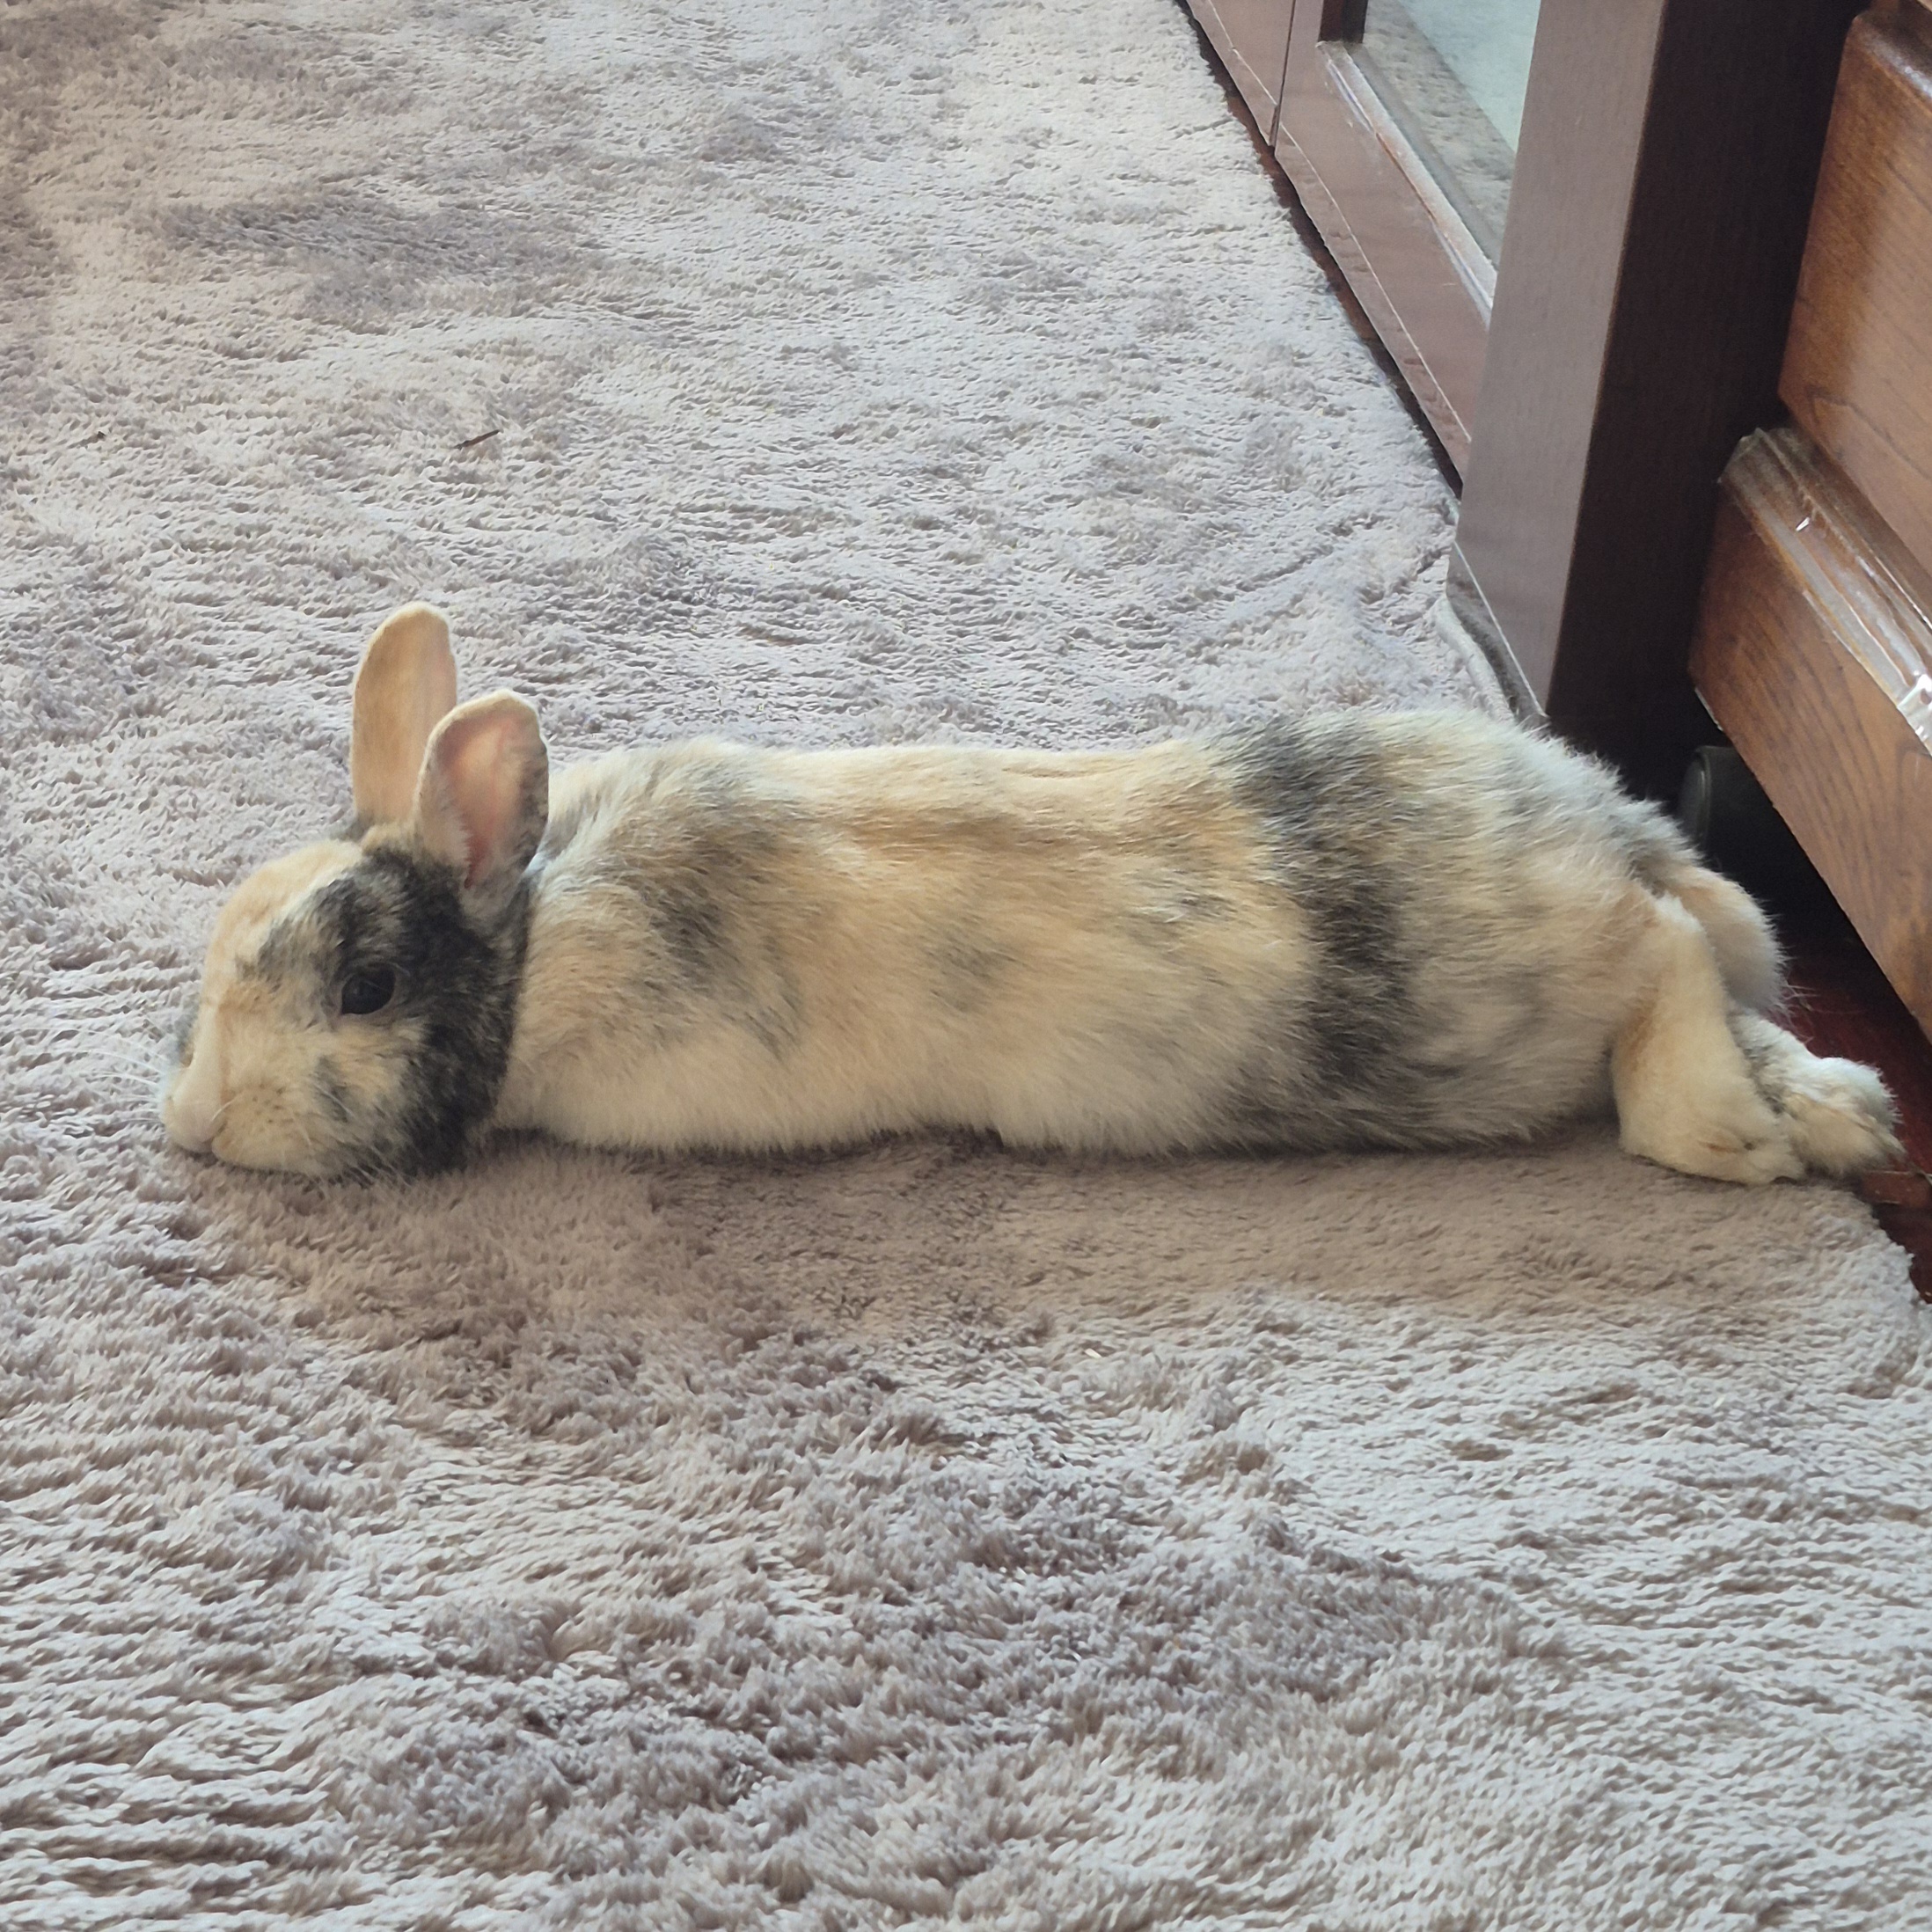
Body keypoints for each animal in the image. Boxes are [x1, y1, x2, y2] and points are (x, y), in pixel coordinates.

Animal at [161, 603, 1902, 1186]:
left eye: (366, 985)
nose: (191, 1122)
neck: (532, 946)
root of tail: (1606, 820)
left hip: (1518, 994)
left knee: (1669, 960)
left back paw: (1736, 1135)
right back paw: (1843, 1118)